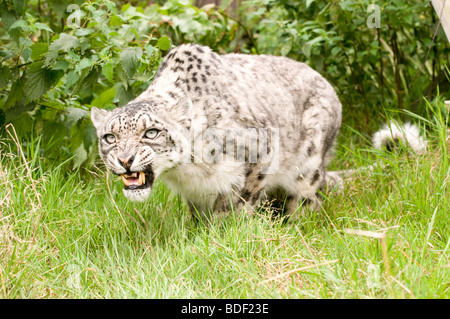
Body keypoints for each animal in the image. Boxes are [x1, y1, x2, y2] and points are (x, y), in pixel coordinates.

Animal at [90, 43, 426, 221]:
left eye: (151, 132)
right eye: (110, 138)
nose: (125, 160)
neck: (187, 173)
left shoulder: (258, 152)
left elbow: (240, 203)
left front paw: (227, 232)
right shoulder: (195, 194)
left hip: (308, 164)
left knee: (308, 198)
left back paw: (296, 223)